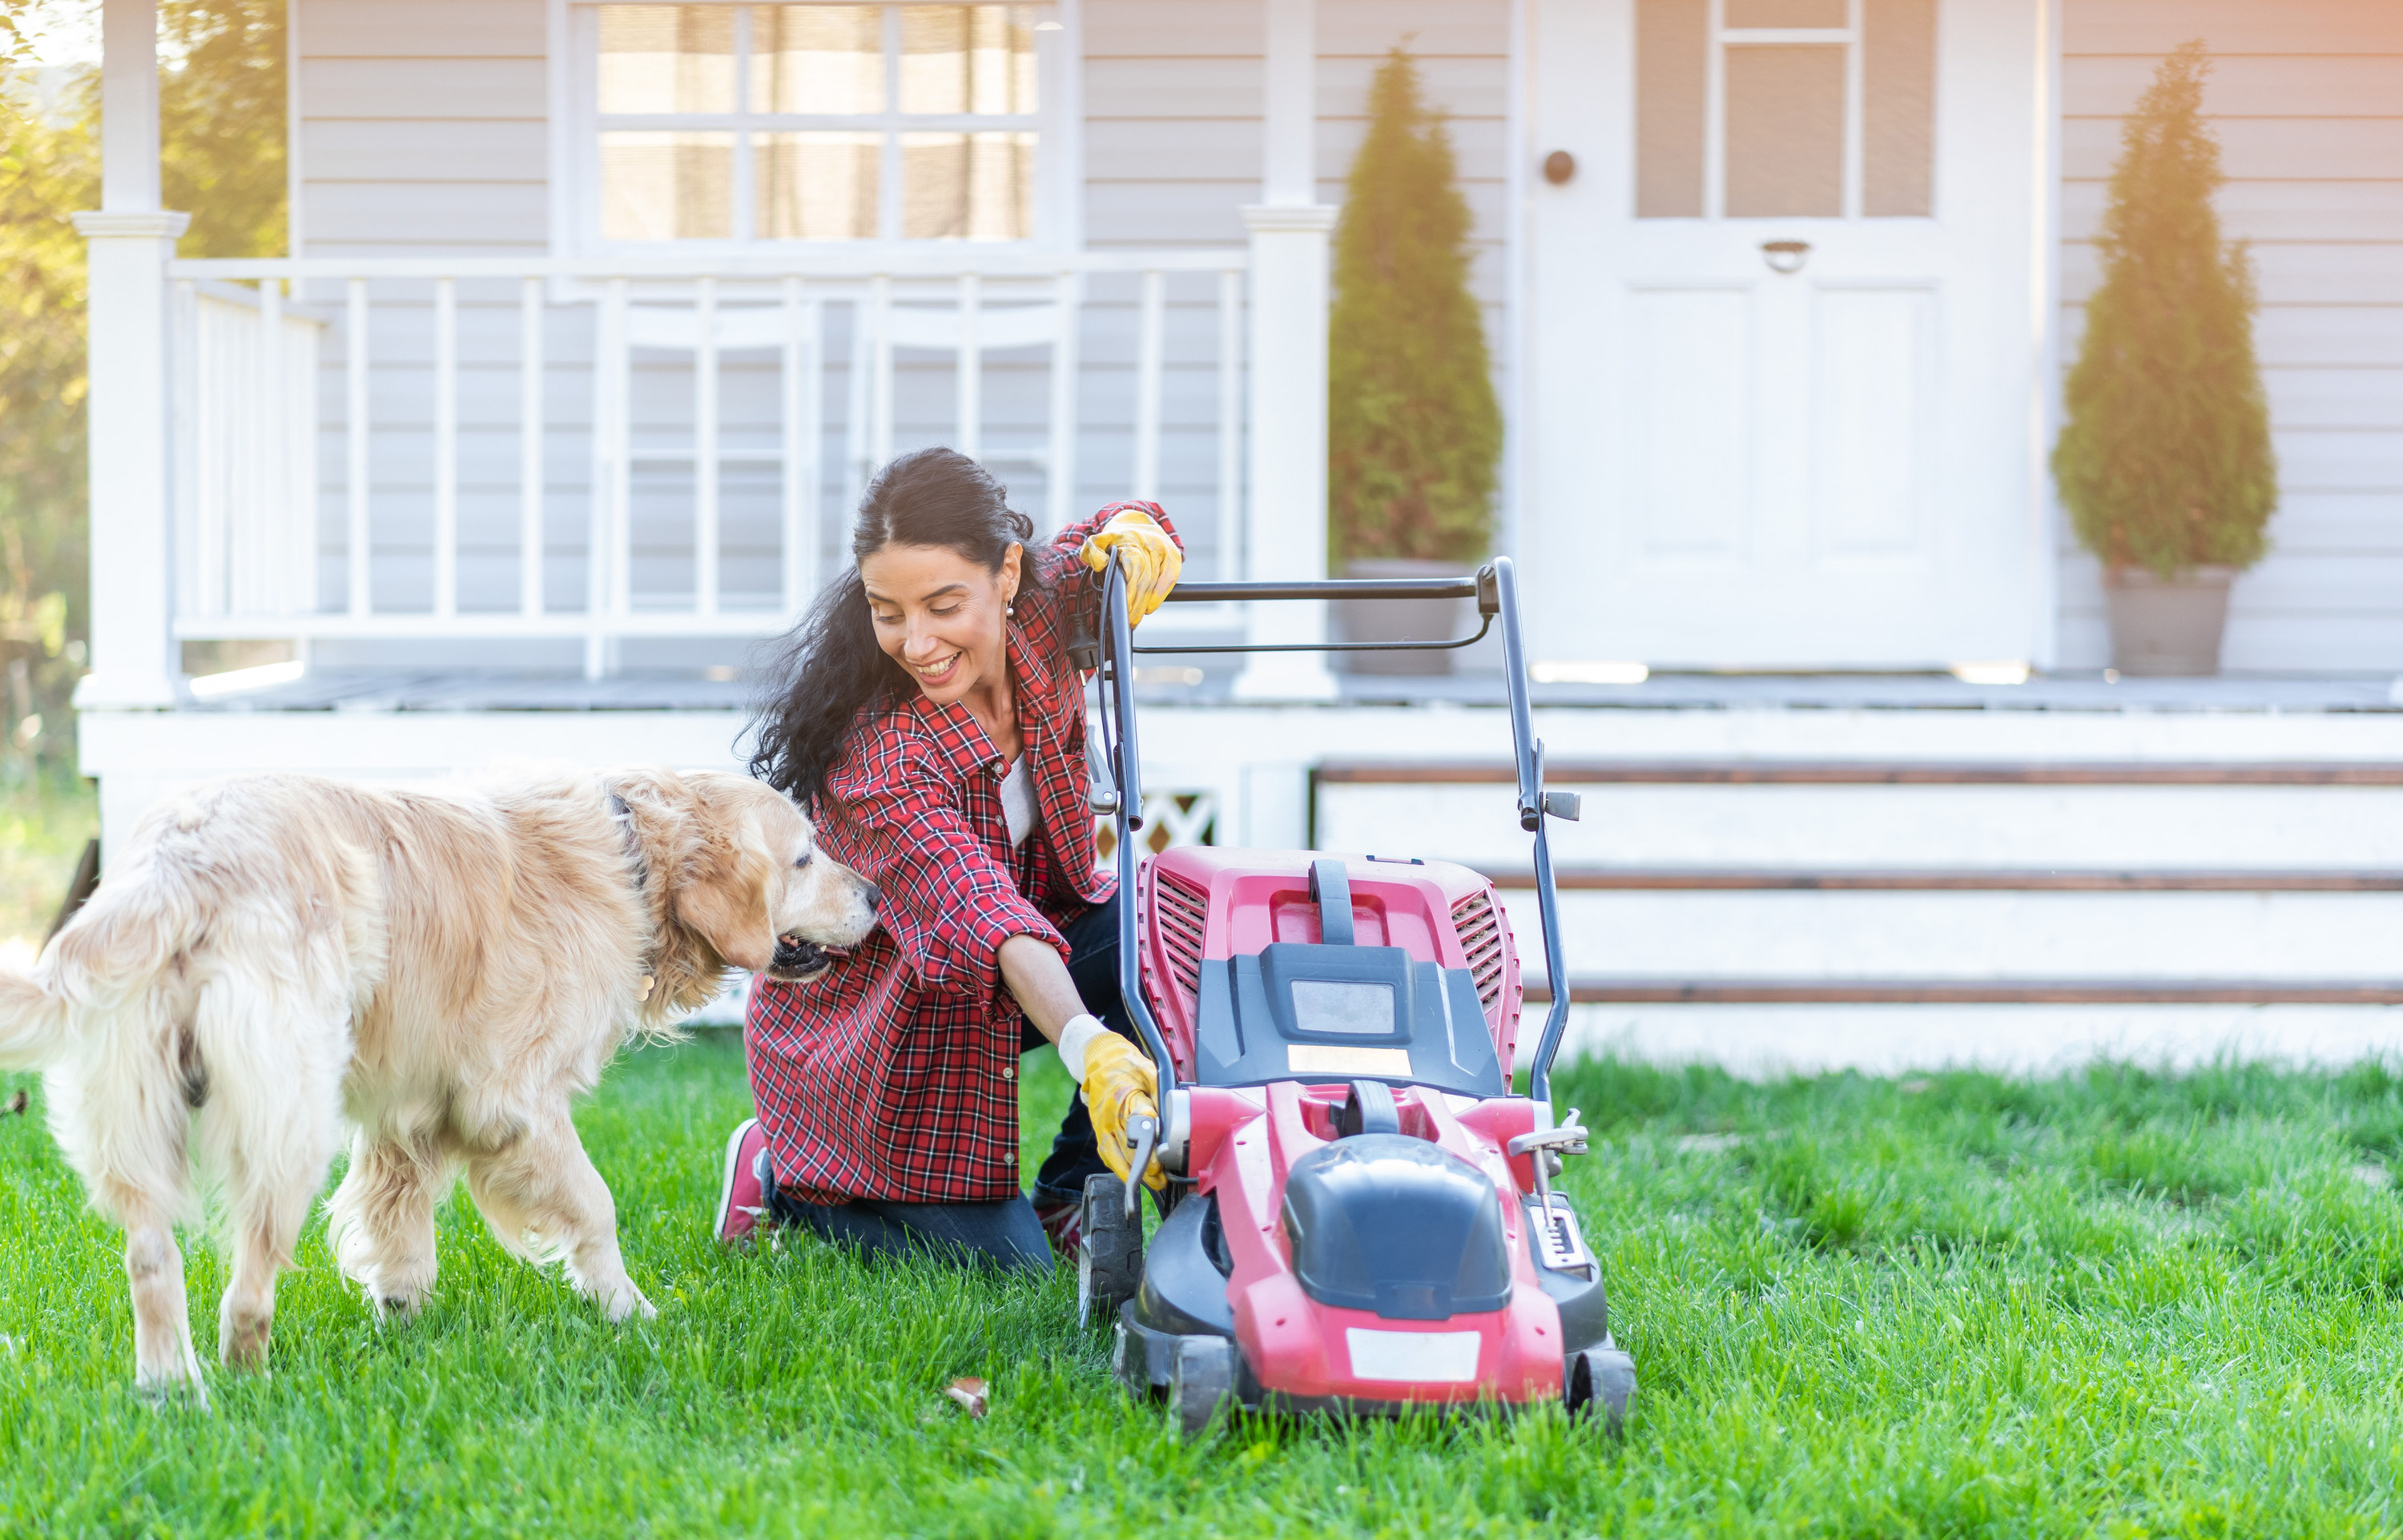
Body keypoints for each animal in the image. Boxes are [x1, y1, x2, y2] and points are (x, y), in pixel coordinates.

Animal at [0, 764, 875, 1403]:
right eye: (804, 857)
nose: (873, 894)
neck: (630, 860)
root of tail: (178, 867)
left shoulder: (411, 1113)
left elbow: (401, 1226)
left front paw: (402, 1320)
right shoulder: (514, 1101)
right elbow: (595, 1206)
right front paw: (631, 1312)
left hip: (135, 1114)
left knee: (151, 1257)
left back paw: (170, 1390)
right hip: (293, 1114)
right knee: (247, 1282)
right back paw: (251, 1383)